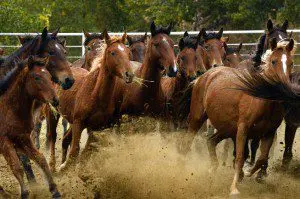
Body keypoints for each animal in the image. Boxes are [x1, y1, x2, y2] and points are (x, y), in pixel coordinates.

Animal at [0, 56, 61, 199]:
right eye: (36, 77)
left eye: (50, 76)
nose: (55, 100)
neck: (9, 109)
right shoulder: (5, 142)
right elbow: (16, 167)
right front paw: (24, 193)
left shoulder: (23, 138)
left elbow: (40, 159)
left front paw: (54, 190)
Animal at [46, 29, 135, 171]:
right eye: (113, 52)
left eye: (128, 52)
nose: (129, 74)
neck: (95, 94)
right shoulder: (78, 123)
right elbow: (75, 151)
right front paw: (65, 168)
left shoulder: (95, 128)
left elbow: (86, 152)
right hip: (52, 112)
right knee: (53, 137)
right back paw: (53, 166)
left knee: (65, 139)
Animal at [179, 38, 294, 194]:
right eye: (273, 61)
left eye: (291, 63)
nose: (284, 88)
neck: (261, 98)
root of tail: (202, 77)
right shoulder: (242, 129)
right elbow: (240, 157)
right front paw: (234, 188)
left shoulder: (269, 133)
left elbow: (262, 158)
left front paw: (248, 172)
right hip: (197, 119)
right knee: (187, 143)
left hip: (227, 128)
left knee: (211, 141)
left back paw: (212, 169)